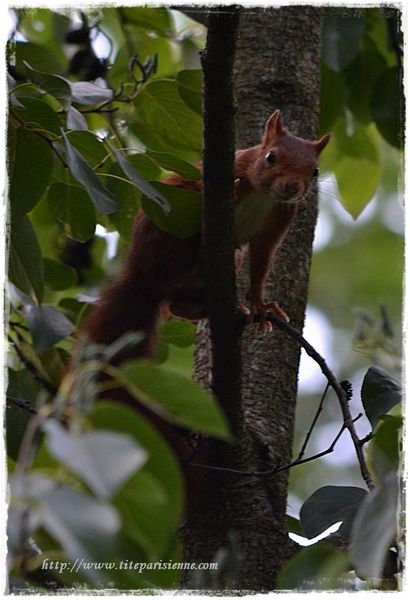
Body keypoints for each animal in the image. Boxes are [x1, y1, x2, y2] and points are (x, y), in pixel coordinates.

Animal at [82, 110, 330, 352]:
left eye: (315, 171)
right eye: (271, 157)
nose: (292, 187)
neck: (263, 193)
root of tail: (142, 273)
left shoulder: (281, 217)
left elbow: (262, 259)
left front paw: (258, 304)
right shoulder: (230, 170)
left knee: (176, 304)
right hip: (169, 235)